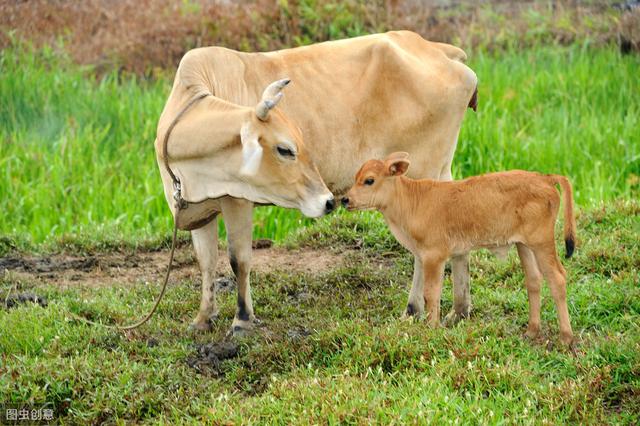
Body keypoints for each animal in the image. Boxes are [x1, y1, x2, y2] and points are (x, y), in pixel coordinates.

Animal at [154, 30, 476, 336]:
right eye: (286, 149)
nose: (330, 201)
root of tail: (438, 50)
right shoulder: (197, 208)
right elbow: (206, 260)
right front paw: (203, 319)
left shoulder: (237, 199)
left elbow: (239, 259)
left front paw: (242, 321)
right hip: (442, 170)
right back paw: (459, 310)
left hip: (424, 172)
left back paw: (413, 309)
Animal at [342, 151, 576, 344]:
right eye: (355, 177)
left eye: (369, 180)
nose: (345, 199)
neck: (411, 202)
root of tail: (544, 177)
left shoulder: (434, 256)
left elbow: (431, 293)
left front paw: (432, 327)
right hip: (524, 245)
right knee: (534, 280)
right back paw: (532, 331)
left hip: (542, 242)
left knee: (557, 278)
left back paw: (566, 338)